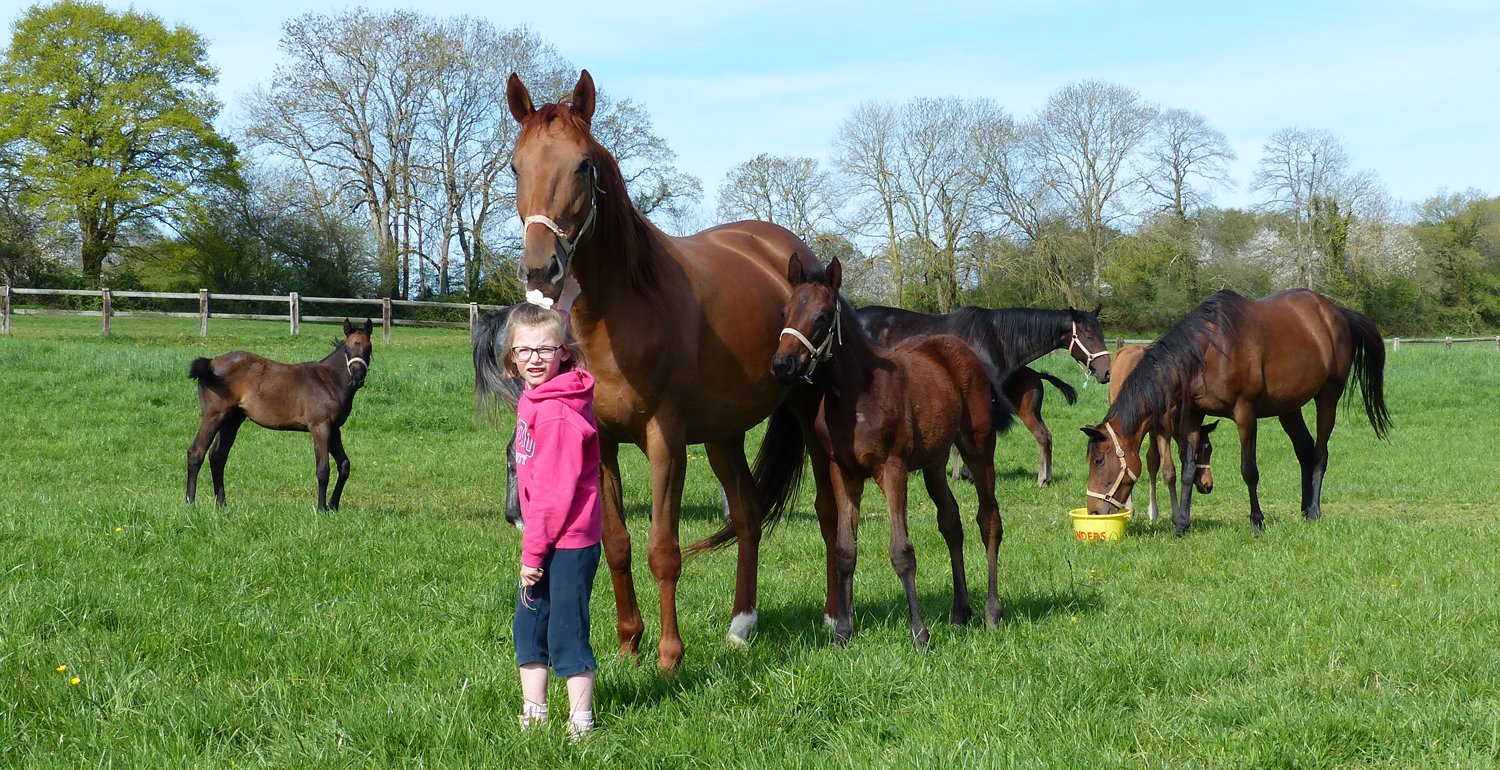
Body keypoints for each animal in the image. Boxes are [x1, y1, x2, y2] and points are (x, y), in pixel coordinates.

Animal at [187, 318, 373, 511]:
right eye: (348, 348)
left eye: (369, 348)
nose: (358, 377)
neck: (328, 381)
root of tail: (211, 363)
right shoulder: (320, 427)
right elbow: (323, 470)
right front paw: (321, 508)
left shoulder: (334, 429)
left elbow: (344, 465)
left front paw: (333, 505)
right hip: (213, 416)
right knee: (196, 452)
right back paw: (190, 502)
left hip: (231, 421)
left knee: (217, 456)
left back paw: (222, 504)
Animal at [494, 69, 824, 670]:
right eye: (514, 165)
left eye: (584, 164)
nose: (540, 269)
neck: (625, 305)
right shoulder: (601, 441)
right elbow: (619, 544)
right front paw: (629, 643)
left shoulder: (664, 440)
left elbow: (663, 549)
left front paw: (670, 655)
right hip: (723, 433)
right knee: (746, 515)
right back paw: (741, 626)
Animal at [773, 255, 1006, 647]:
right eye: (785, 311)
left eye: (822, 316)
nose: (782, 364)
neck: (855, 395)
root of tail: (959, 348)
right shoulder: (843, 472)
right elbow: (844, 551)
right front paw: (843, 632)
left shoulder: (892, 469)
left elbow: (901, 551)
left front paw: (920, 633)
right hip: (934, 463)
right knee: (951, 522)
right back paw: (960, 613)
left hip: (978, 446)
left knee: (989, 520)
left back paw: (992, 612)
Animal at [1105, 344, 1217, 522]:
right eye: (1199, 451)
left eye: (1210, 450)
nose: (1208, 485)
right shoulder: (1161, 428)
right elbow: (1167, 468)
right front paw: (1172, 513)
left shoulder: (1156, 428)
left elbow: (1153, 460)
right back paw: (1129, 507)